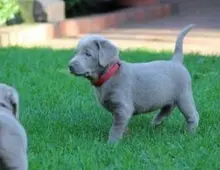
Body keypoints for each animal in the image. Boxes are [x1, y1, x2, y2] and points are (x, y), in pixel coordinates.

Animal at [69, 24, 199, 143]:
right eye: (75, 52)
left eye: (88, 54)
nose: (70, 66)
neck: (110, 74)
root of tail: (176, 62)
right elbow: (120, 124)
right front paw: (124, 134)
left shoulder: (123, 108)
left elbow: (116, 127)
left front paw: (111, 144)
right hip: (168, 96)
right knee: (167, 108)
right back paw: (154, 124)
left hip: (184, 95)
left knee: (193, 115)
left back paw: (190, 133)